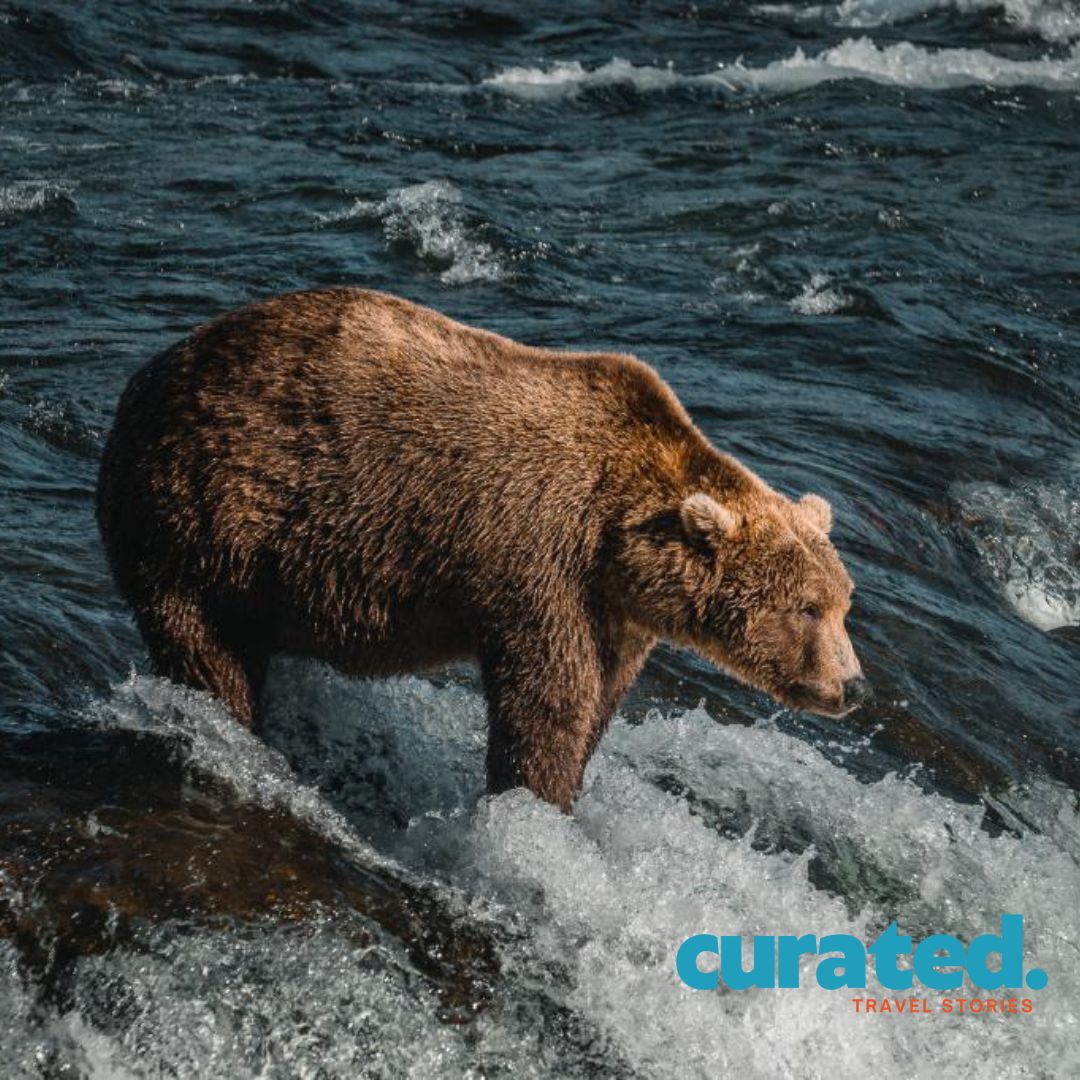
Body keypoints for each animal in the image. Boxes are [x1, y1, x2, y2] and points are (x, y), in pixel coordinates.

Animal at [97, 287, 870, 812]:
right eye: (806, 608)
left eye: (843, 604)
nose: (855, 686)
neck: (618, 545)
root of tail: (154, 370)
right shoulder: (539, 563)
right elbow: (547, 699)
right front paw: (537, 802)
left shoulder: (616, 615)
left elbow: (598, 700)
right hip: (199, 517)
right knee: (206, 648)